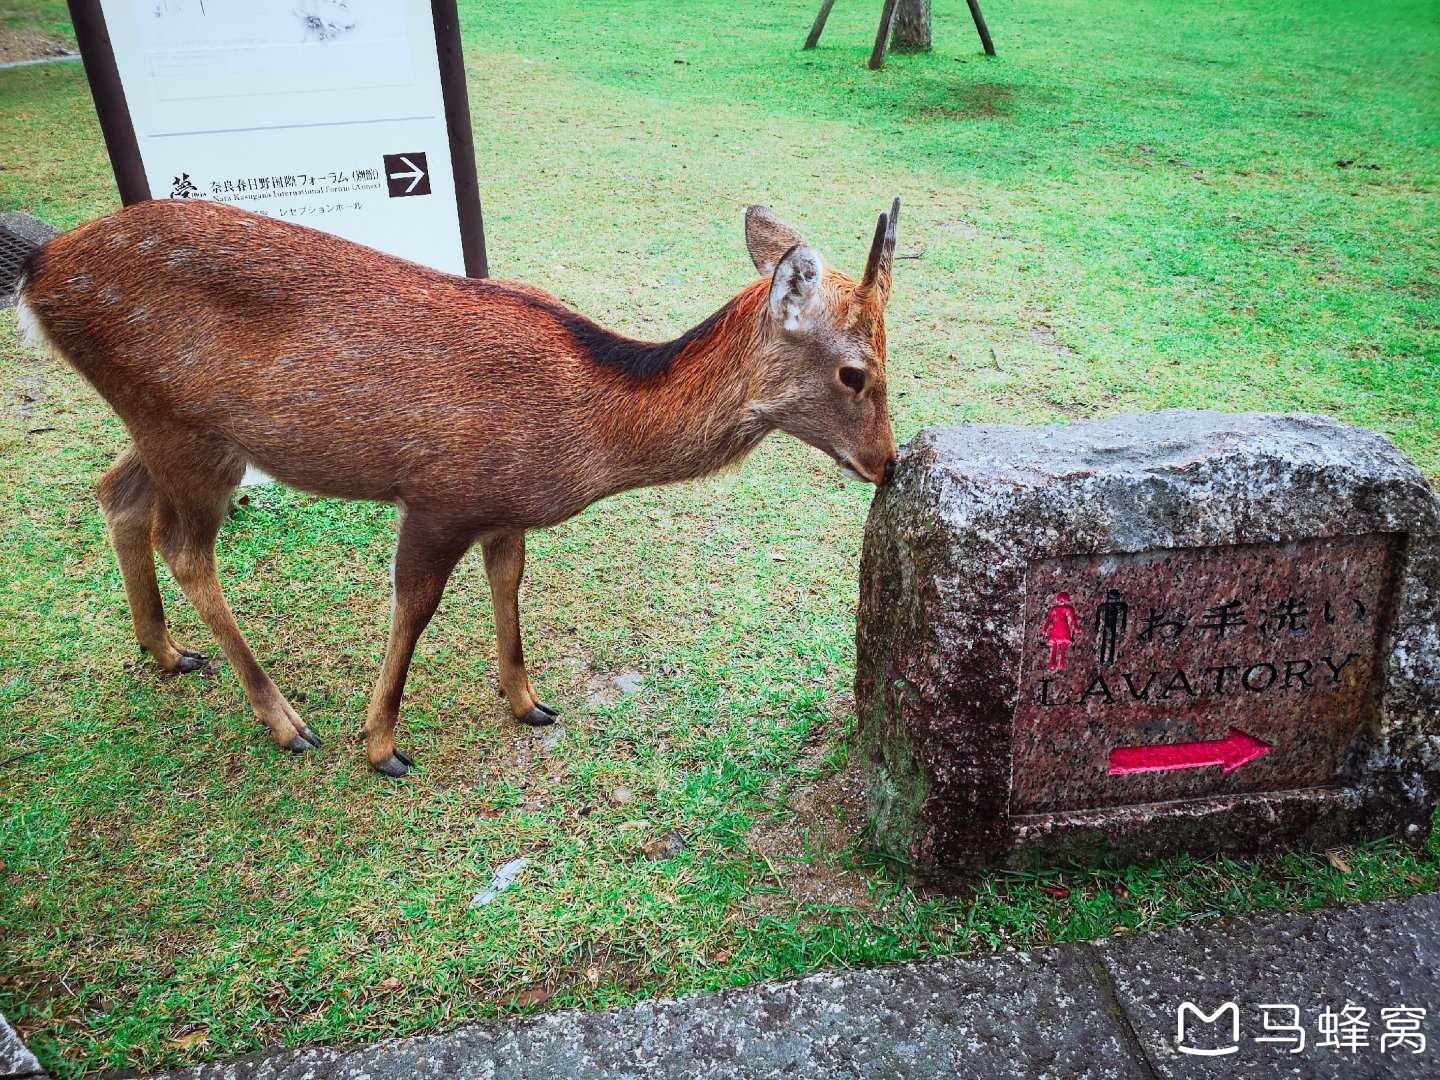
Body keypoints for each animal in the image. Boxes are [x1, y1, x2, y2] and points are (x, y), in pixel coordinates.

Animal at [16, 197, 898, 777]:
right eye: (856, 373)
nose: (888, 462)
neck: (583, 435)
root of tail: (36, 272)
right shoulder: (440, 493)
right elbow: (415, 605)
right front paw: (381, 745)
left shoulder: (502, 509)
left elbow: (509, 583)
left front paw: (527, 700)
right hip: (185, 431)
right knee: (185, 547)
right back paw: (287, 720)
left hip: (164, 425)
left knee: (117, 493)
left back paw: (165, 650)